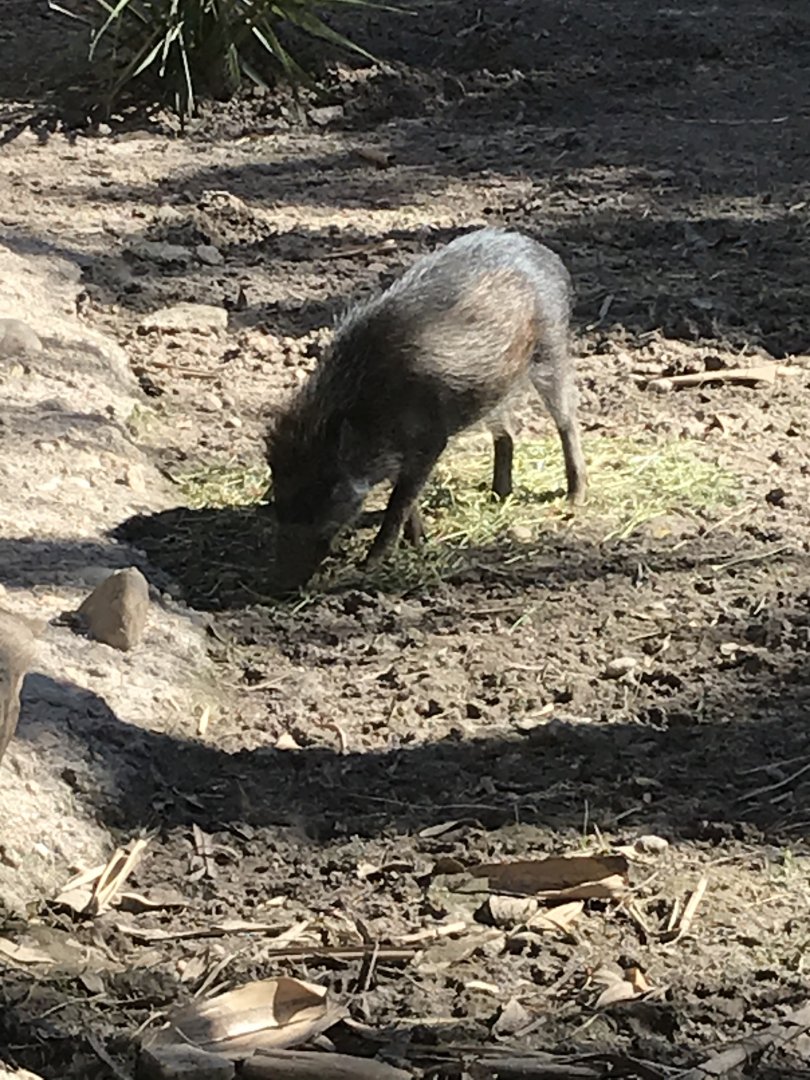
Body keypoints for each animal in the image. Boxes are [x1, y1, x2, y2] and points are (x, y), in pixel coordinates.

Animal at [266, 227, 587, 590]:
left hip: (550, 347)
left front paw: (371, 564)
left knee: (566, 419)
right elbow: (408, 499)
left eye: (329, 487)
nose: (277, 585)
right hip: (495, 387)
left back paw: (574, 498)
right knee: (507, 433)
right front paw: (417, 541)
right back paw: (497, 496)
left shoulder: (430, 440)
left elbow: (399, 502)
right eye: (278, 486)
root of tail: (547, 256)